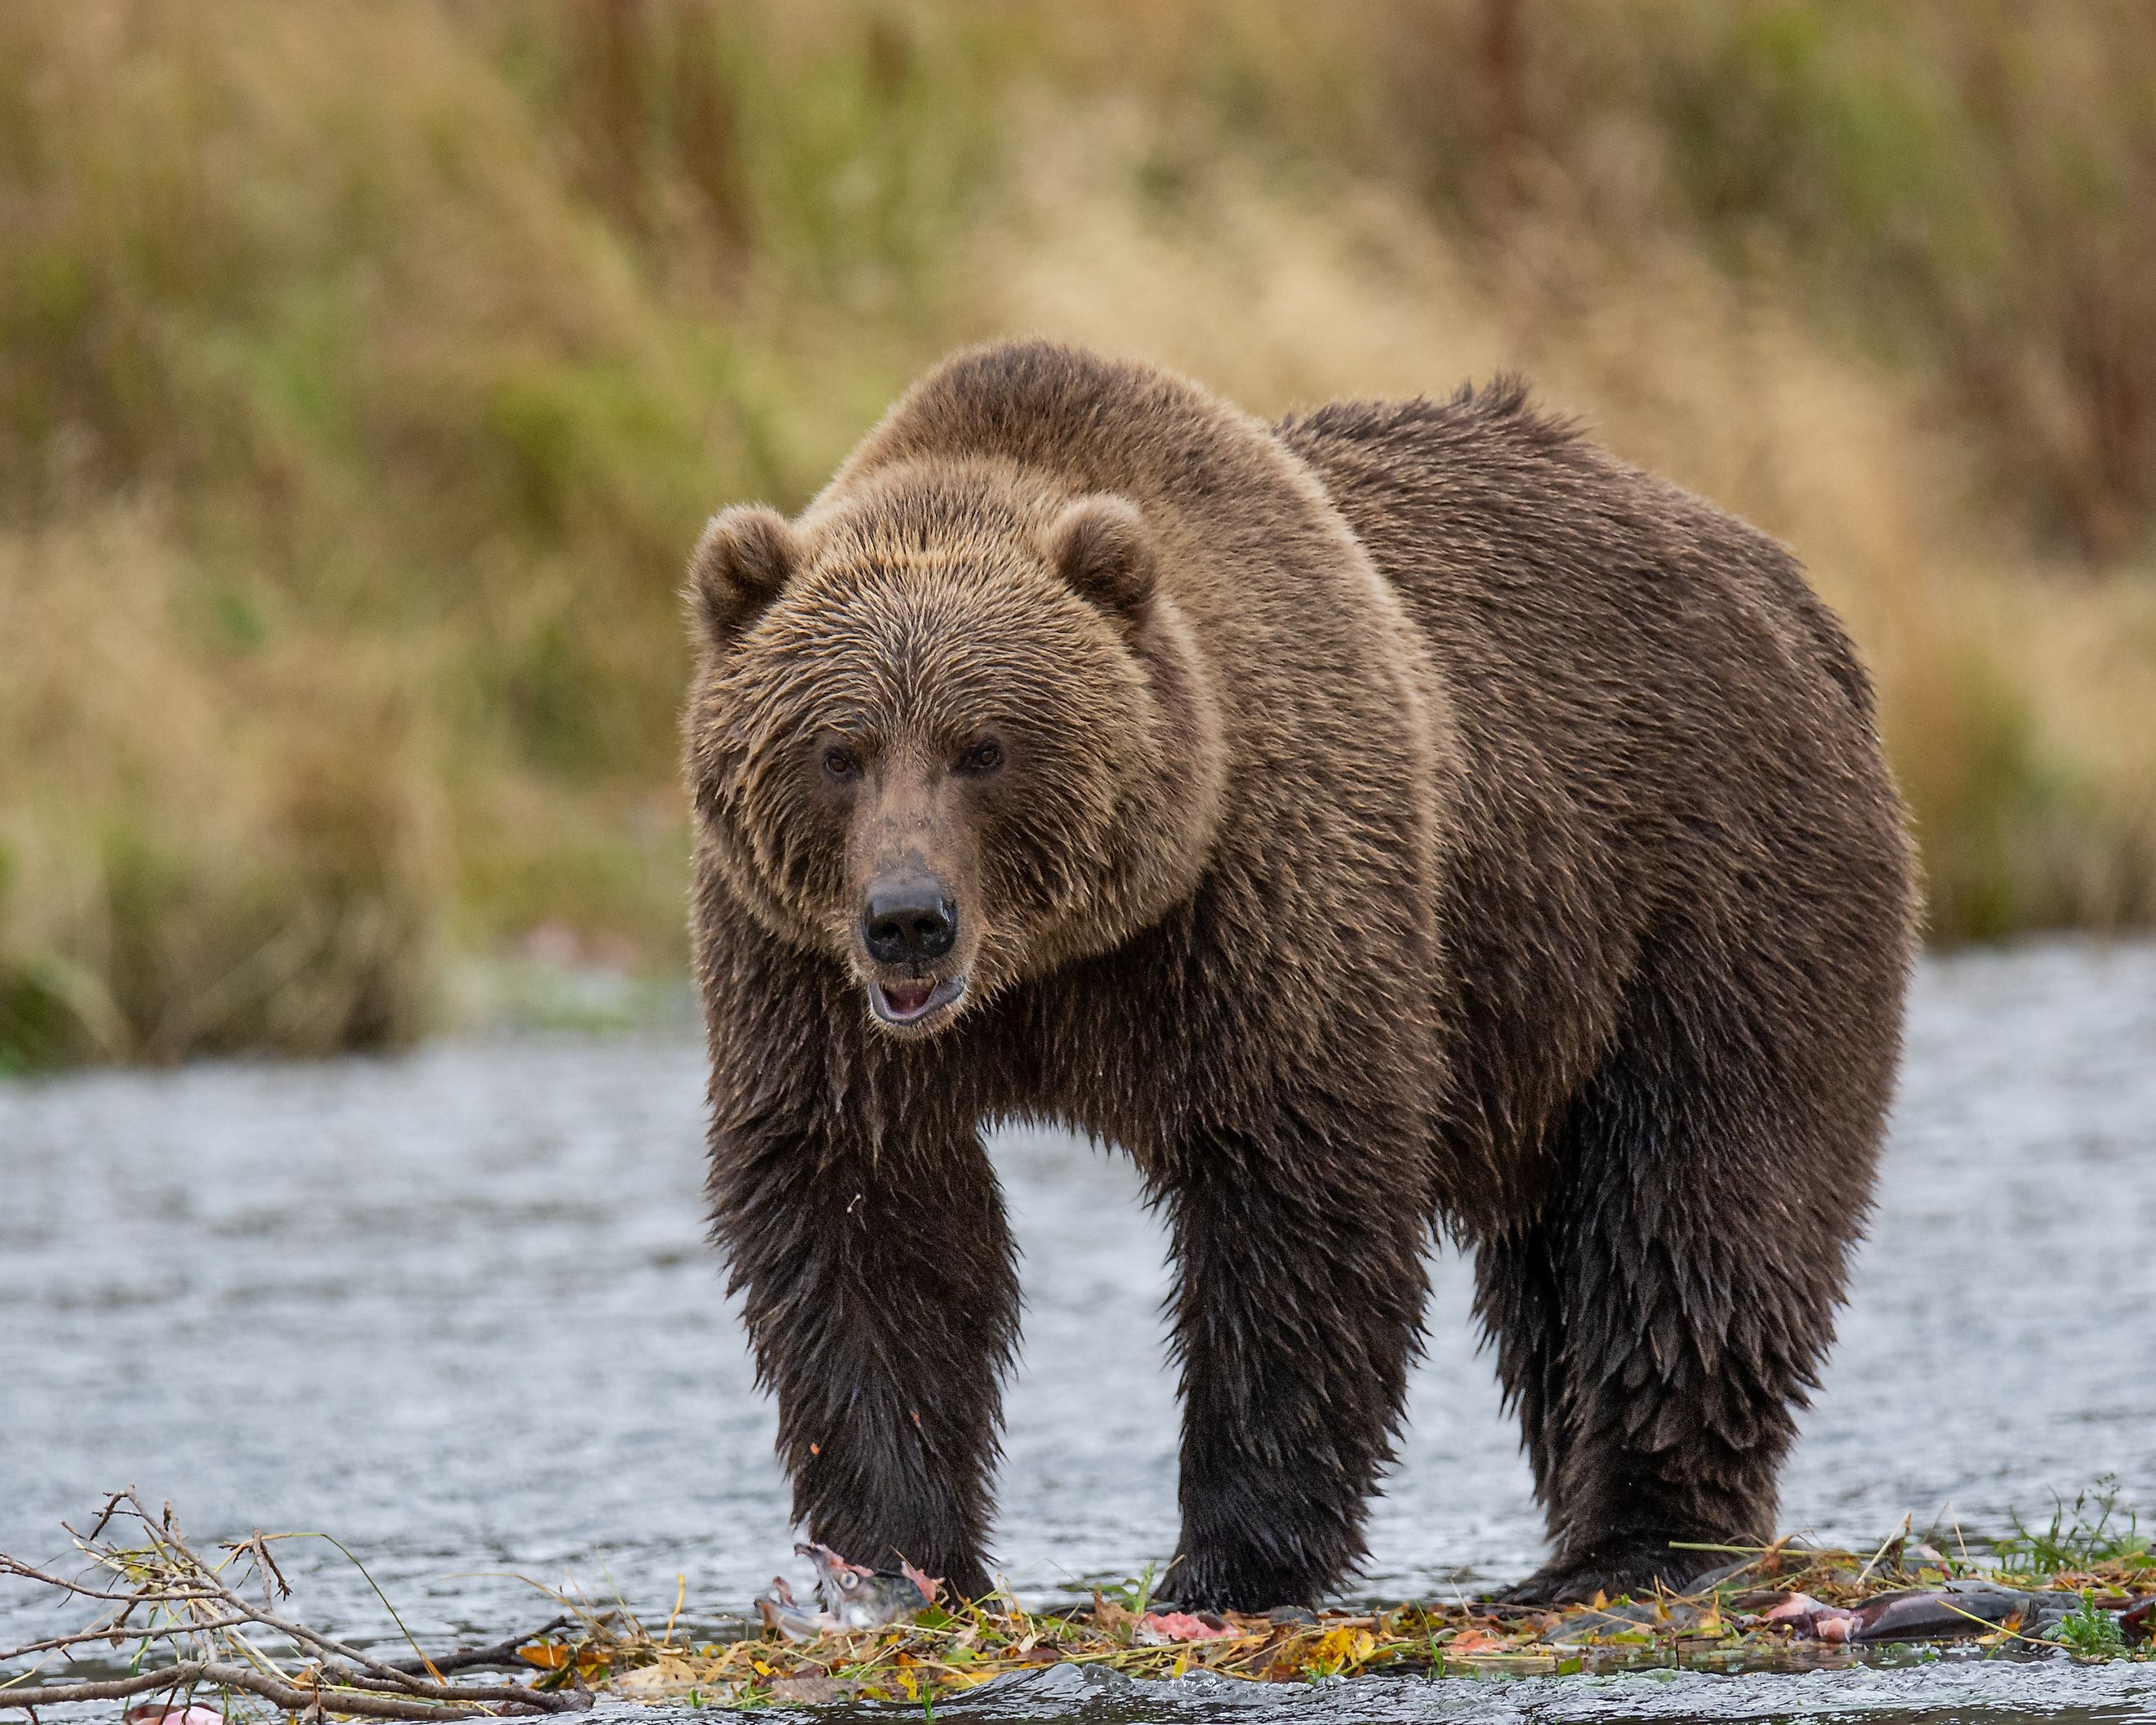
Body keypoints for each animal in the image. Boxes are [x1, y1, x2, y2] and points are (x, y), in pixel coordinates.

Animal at [681, 339, 1917, 1611]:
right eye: (840, 750)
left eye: (985, 747)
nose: (908, 922)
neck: (1056, 966)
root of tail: (1782, 582)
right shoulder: (803, 976)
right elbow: (868, 1218)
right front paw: (895, 1564)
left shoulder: (1266, 897)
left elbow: (1294, 1196)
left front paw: (1227, 1563)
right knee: (1556, 1265)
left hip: (1708, 884)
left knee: (1696, 1200)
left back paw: (1640, 1540)